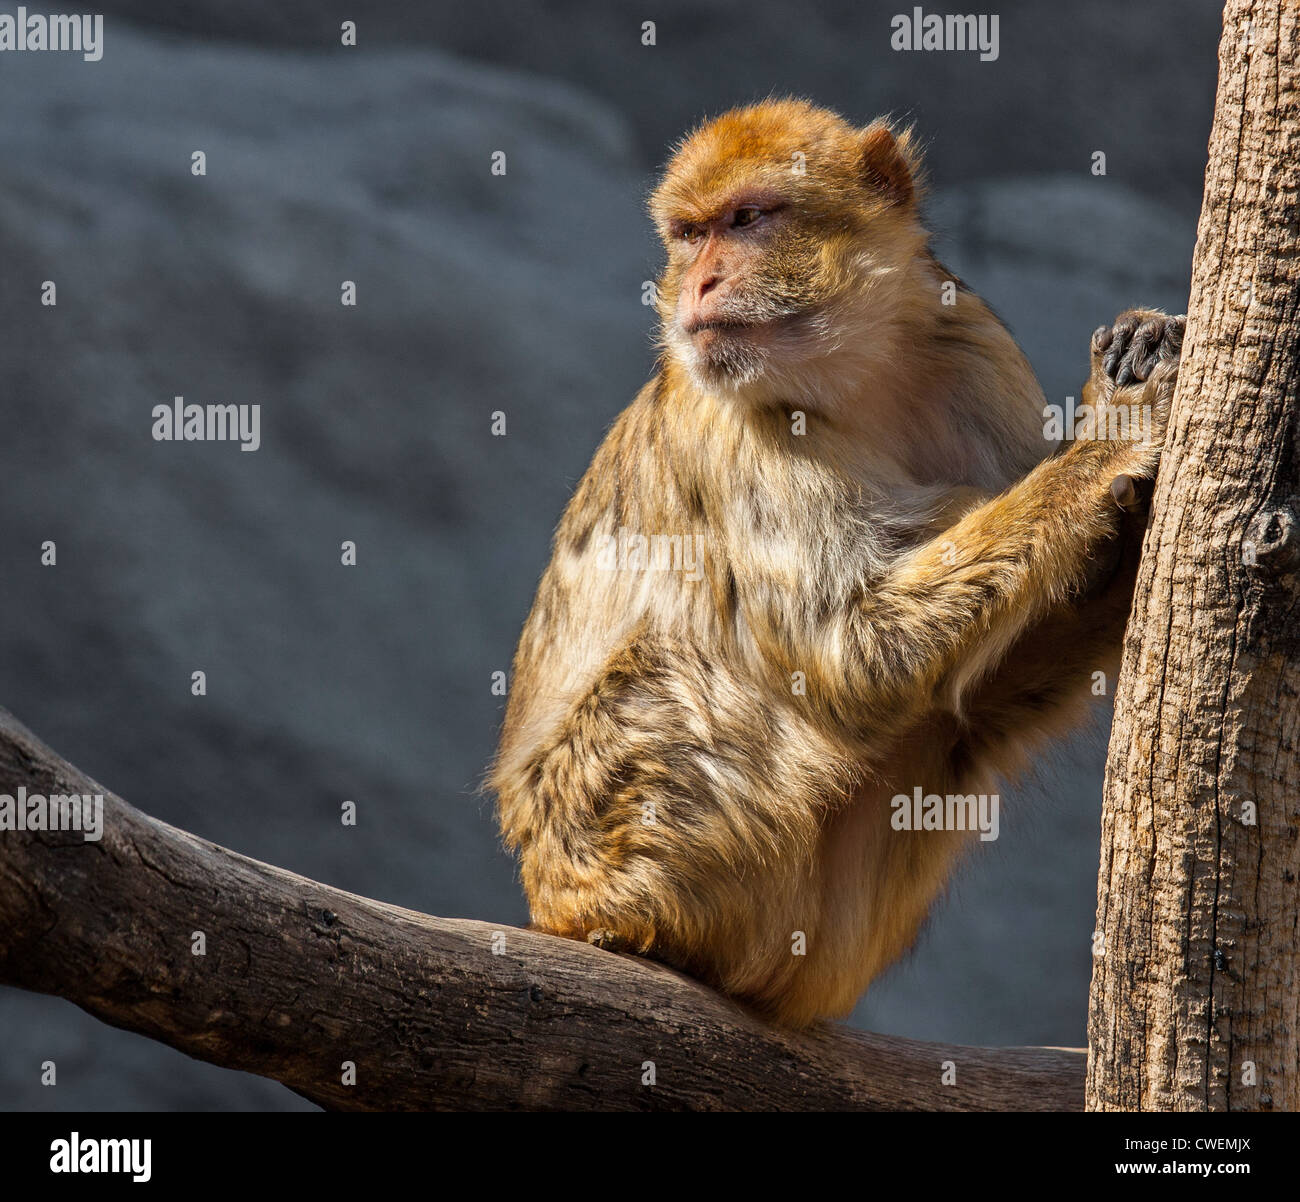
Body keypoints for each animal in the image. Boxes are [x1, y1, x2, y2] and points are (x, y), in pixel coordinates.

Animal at [488, 98, 1190, 1029]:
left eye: (747, 219)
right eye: (689, 234)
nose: (699, 284)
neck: (855, 374)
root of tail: (549, 899)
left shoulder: (973, 350)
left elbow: (978, 687)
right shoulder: (733, 422)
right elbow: (850, 655)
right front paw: (1116, 430)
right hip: (593, 834)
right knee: (676, 672)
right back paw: (656, 934)